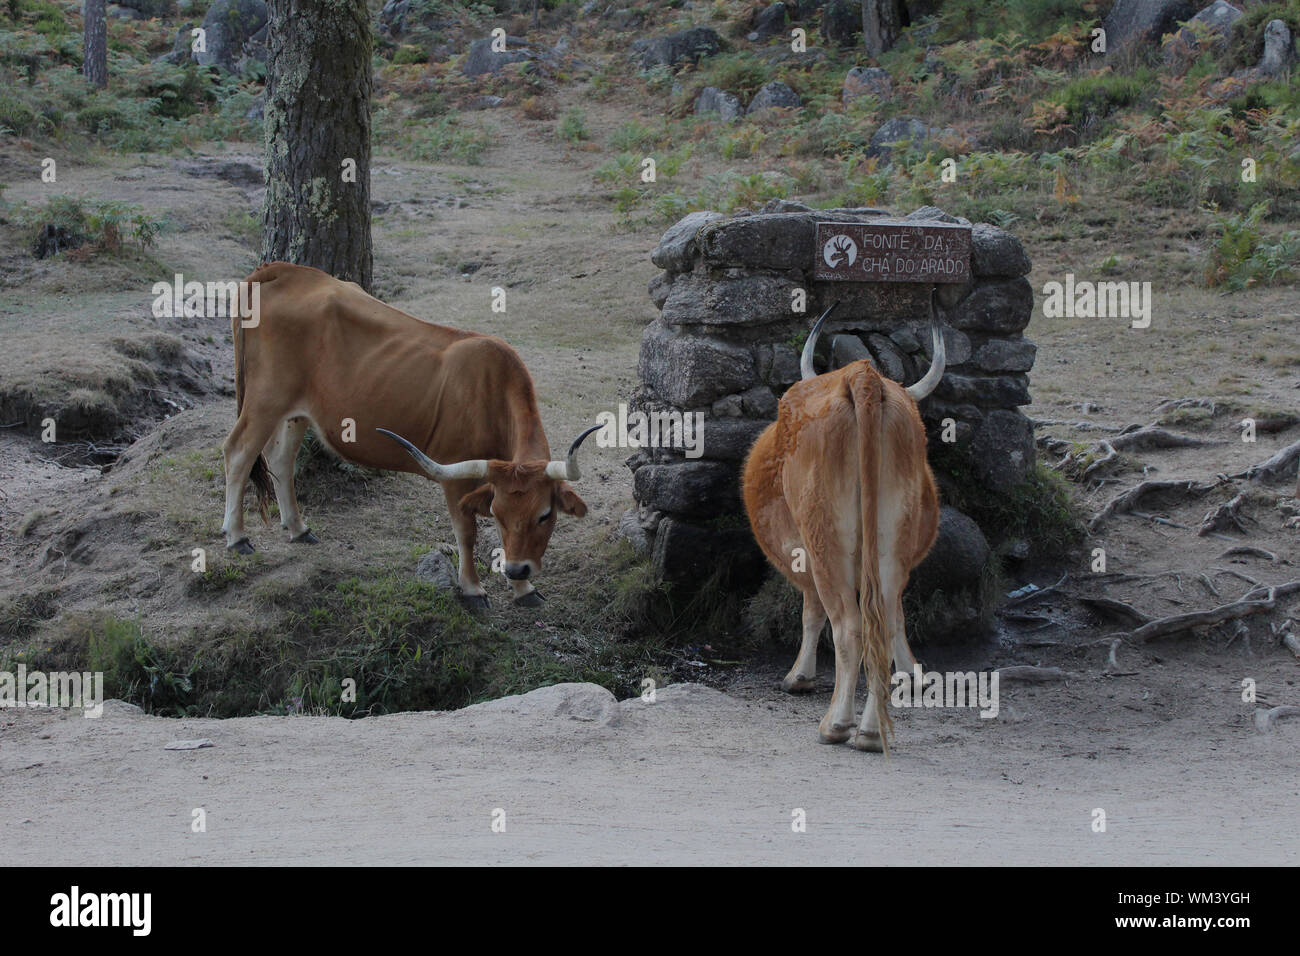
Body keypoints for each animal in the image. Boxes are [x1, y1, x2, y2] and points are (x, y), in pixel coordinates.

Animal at [221, 262, 598, 609]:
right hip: (265, 399)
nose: (518, 570)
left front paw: (523, 589)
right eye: (499, 513)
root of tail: (283, 271)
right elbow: (466, 533)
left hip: (296, 412)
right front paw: (473, 589)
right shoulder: (455, 476)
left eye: (545, 515)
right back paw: (237, 536)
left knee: (281, 460)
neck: (491, 393)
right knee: (238, 452)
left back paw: (298, 528)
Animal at [741, 300, 945, 753]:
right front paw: (914, 674)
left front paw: (799, 676)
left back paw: (837, 724)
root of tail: (862, 376)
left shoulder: (802, 558)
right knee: (882, 622)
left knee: (849, 628)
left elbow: (811, 612)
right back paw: (869, 730)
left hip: (825, 546)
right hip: (889, 545)